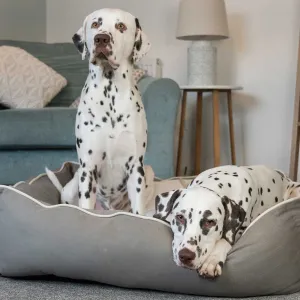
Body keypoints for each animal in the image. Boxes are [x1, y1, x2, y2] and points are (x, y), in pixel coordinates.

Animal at [47, 9, 151, 214]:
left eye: (121, 26)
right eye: (95, 24)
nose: (101, 39)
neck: (110, 94)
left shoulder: (136, 168)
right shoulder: (88, 169)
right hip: (73, 185)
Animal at [154, 164, 300, 278]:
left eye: (210, 222)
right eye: (180, 217)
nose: (185, 256)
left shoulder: (239, 229)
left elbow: (225, 240)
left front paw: (212, 261)